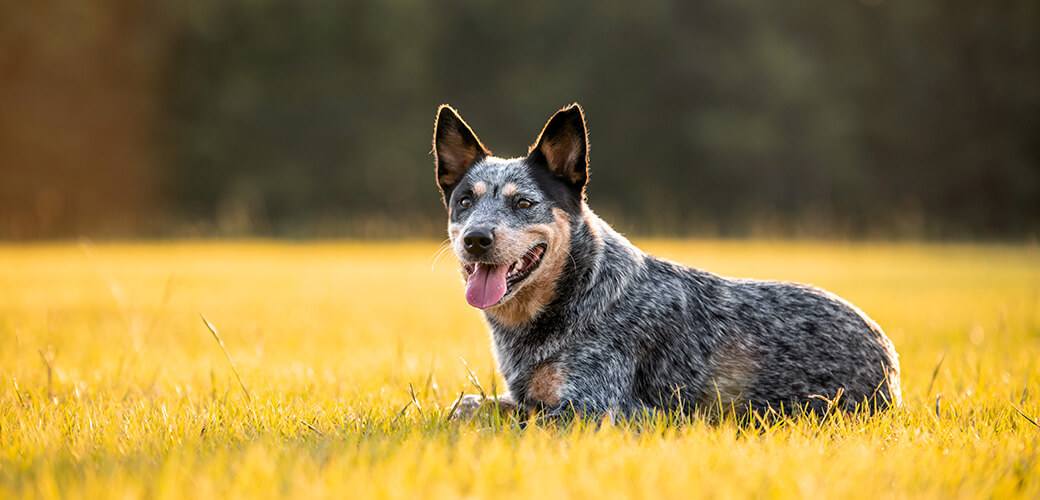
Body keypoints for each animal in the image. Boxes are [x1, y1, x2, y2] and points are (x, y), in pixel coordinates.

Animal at [432, 103, 902, 419]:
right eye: (465, 201)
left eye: (524, 203)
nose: (476, 239)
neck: (580, 292)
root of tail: (886, 350)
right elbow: (466, 404)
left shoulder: (594, 410)